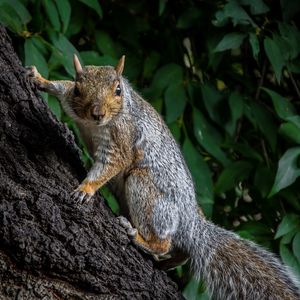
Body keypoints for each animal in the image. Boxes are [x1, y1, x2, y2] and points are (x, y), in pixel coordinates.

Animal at [26, 55, 300, 298]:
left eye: (118, 90)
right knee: (183, 252)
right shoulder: (73, 104)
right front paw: (40, 79)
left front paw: (86, 188)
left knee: (163, 241)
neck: (96, 125)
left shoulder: (122, 140)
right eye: (79, 89)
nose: (97, 113)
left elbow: (110, 164)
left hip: (145, 191)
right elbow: (62, 87)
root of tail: (190, 221)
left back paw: (140, 238)